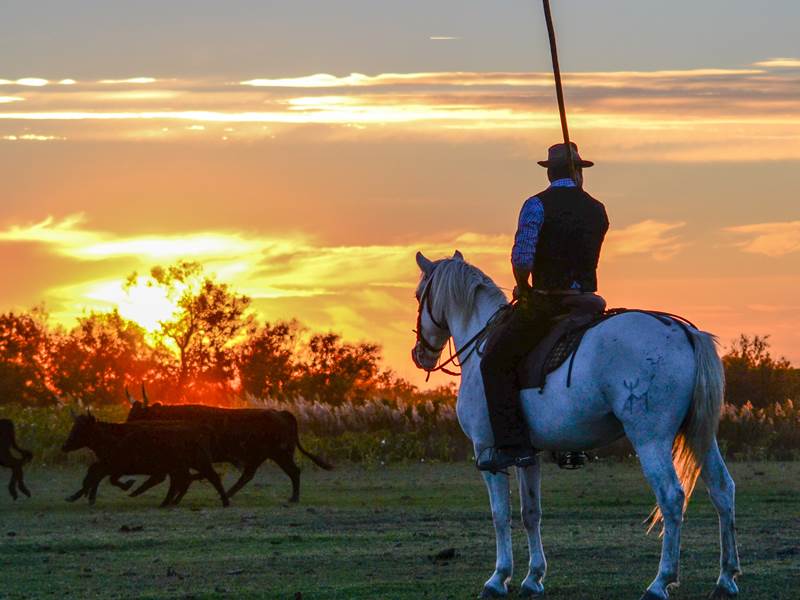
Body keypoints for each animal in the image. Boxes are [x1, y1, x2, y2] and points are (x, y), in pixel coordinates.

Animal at [410, 251, 740, 600]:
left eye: (418, 296)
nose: (419, 355)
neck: (481, 342)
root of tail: (685, 333)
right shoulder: (527, 454)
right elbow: (531, 513)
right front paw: (533, 578)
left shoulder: (487, 452)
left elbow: (500, 515)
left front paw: (498, 578)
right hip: (701, 438)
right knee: (723, 490)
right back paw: (726, 579)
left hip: (651, 440)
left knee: (672, 497)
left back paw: (660, 582)